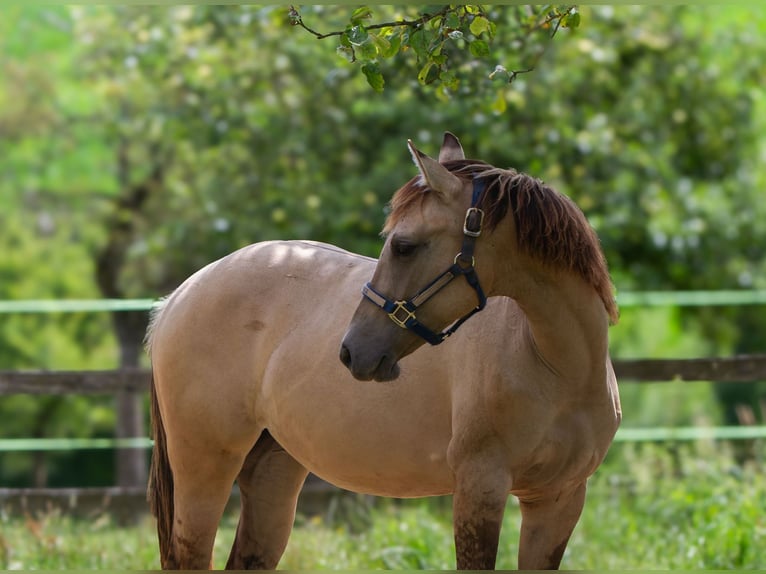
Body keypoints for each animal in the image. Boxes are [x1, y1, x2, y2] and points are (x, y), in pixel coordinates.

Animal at [146, 132, 624, 572]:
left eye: (403, 245)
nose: (351, 351)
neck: (556, 369)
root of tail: (179, 296)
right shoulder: (480, 489)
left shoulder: (558, 501)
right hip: (204, 468)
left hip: (273, 472)